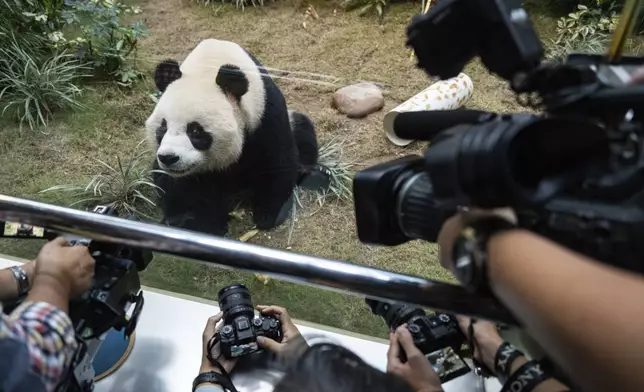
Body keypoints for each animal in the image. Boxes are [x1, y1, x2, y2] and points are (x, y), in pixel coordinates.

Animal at [146, 39, 328, 236]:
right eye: (163, 127)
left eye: (195, 131)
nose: (169, 157)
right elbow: (180, 186)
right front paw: (199, 223)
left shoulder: (265, 112)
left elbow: (278, 160)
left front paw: (268, 215)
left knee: (302, 129)